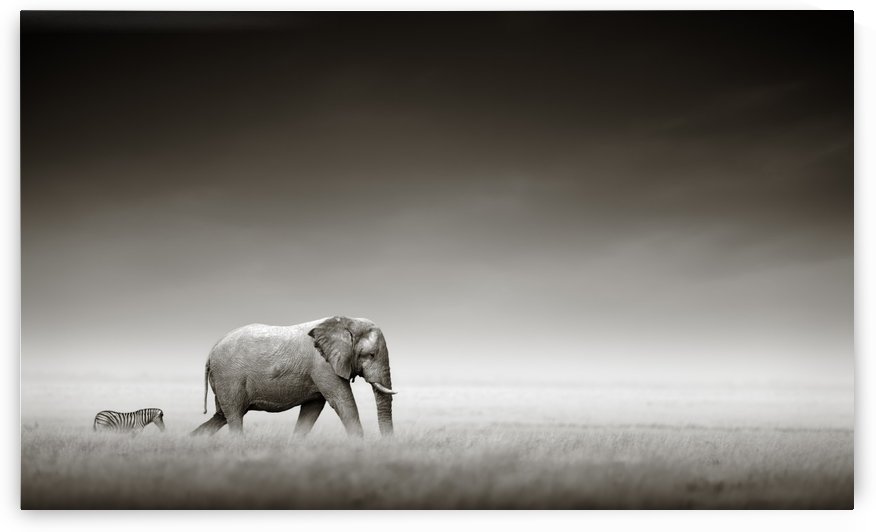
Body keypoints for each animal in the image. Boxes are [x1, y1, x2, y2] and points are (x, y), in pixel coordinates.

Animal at [191, 316, 396, 437]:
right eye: (371, 355)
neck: (346, 322)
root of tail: (211, 351)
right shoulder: (323, 365)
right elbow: (343, 402)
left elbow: (312, 409)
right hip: (229, 377)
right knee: (233, 416)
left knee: (221, 416)